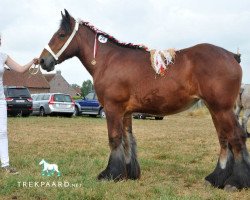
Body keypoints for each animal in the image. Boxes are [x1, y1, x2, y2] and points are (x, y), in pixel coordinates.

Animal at [39, 10, 250, 191]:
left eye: (61, 34)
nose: (42, 61)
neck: (109, 60)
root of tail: (232, 55)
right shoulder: (125, 112)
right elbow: (127, 140)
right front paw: (129, 173)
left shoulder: (113, 108)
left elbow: (114, 139)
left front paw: (110, 174)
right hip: (215, 109)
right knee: (224, 139)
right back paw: (215, 178)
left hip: (222, 109)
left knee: (236, 137)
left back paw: (234, 182)